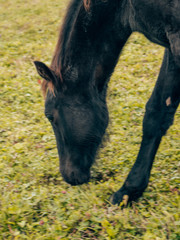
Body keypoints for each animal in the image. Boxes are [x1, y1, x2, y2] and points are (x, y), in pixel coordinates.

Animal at [34, 0, 180, 204]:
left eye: (49, 116)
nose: (68, 176)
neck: (124, 6)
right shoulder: (171, 48)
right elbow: (156, 114)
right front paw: (130, 191)